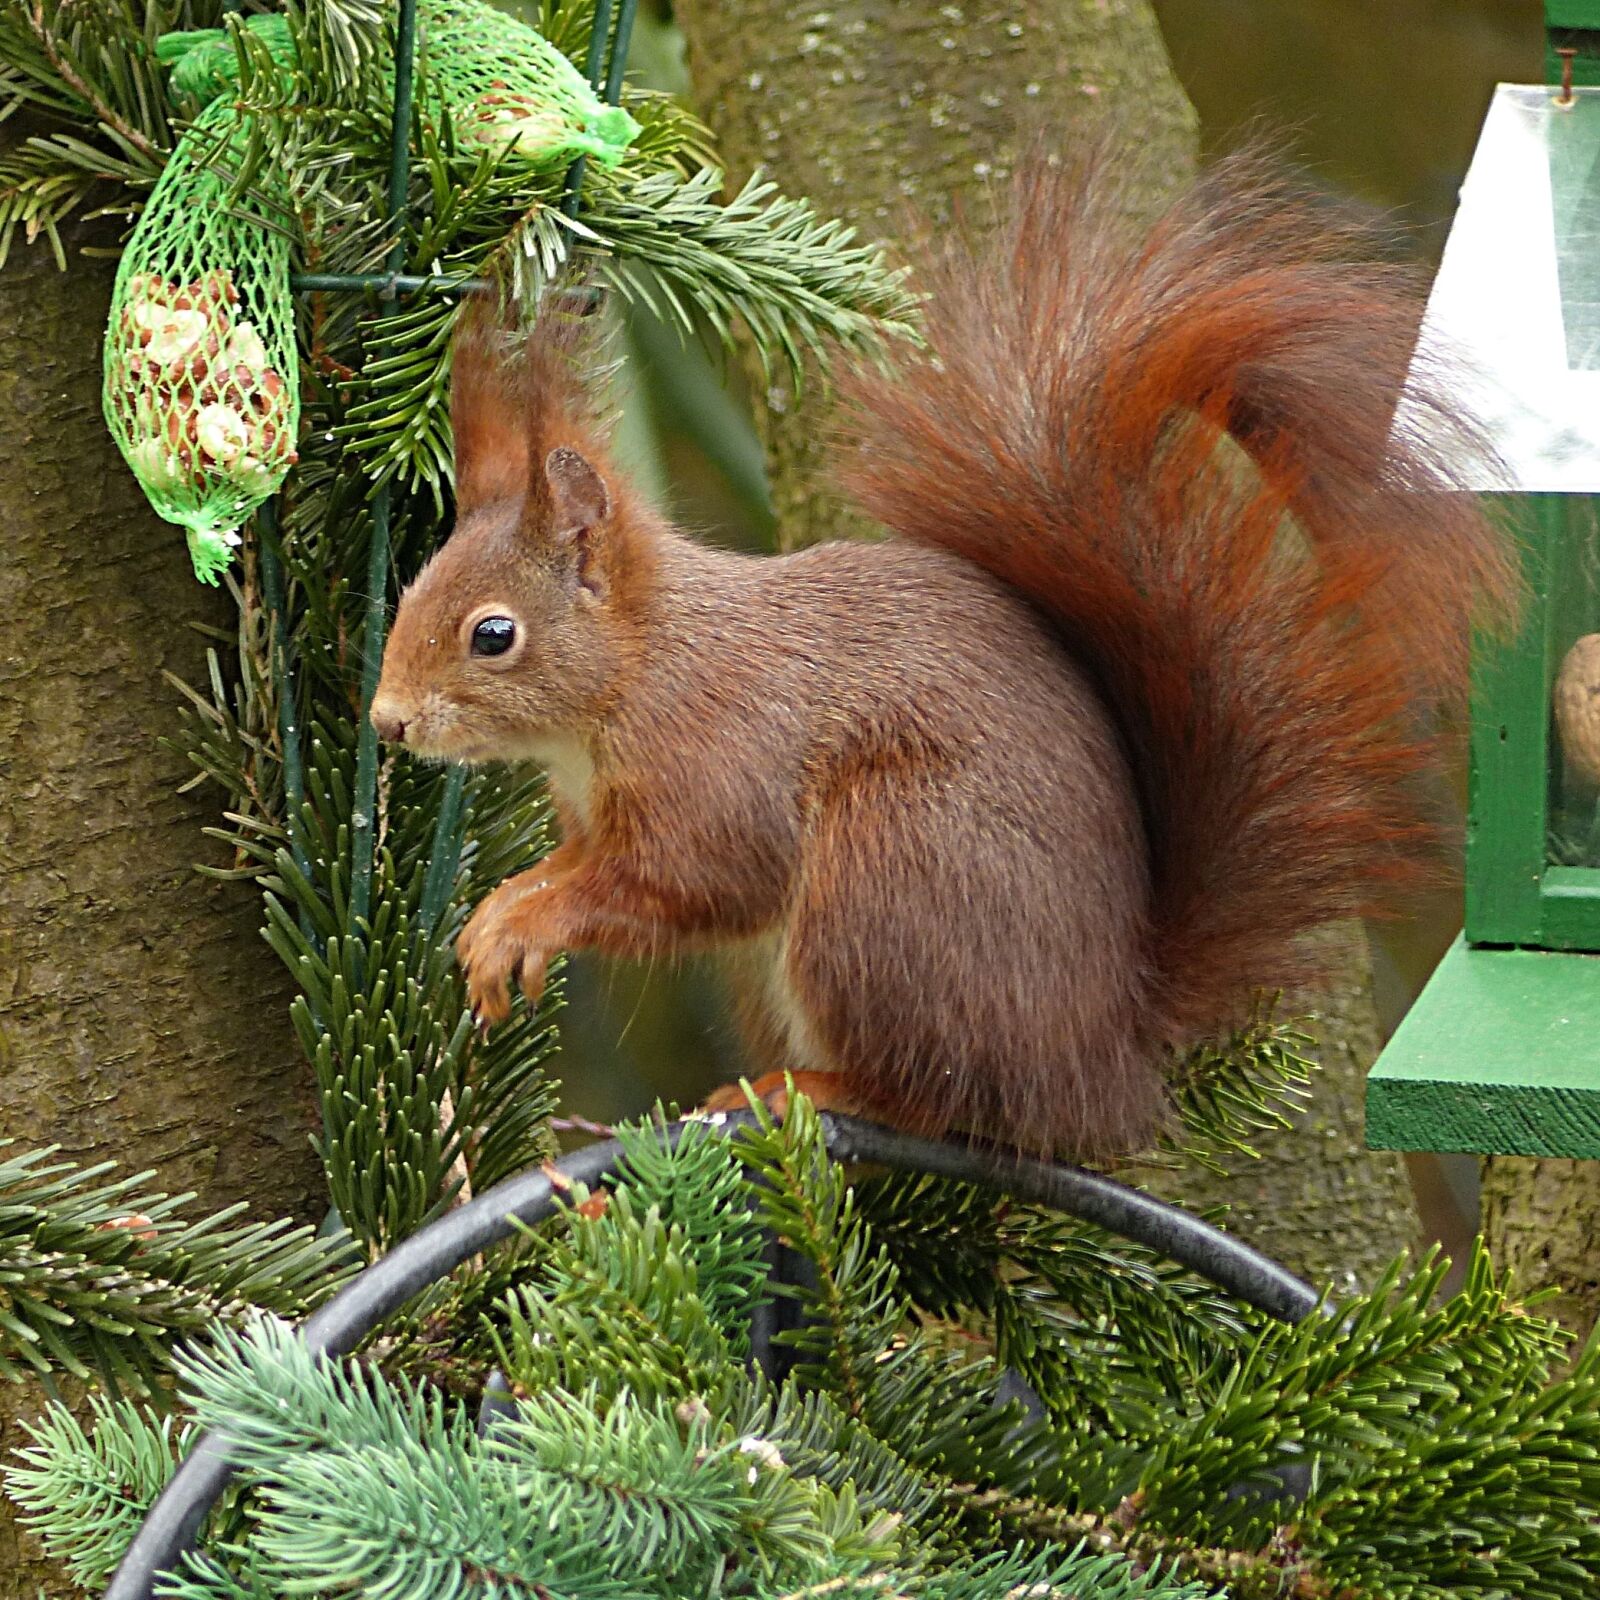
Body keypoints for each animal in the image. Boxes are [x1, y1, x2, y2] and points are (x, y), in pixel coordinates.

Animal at [369, 149, 1521, 1159]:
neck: (633, 675)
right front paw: (505, 910)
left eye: (492, 635)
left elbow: (700, 879)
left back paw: (806, 1087)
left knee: (945, 1100)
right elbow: (604, 870)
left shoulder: (719, 759)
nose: (386, 719)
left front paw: (521, 919)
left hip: (888, 880)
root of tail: (1105, 1055)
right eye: (411, 591)